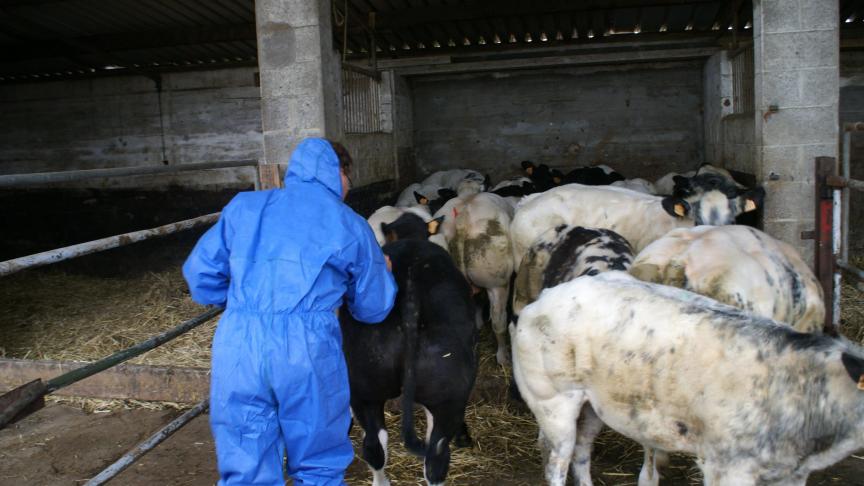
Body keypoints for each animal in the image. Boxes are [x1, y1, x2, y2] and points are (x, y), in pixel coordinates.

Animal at [512, 270, 864, 486]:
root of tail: (546, 295)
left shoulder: (793, 473)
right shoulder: (727, 467)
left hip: (593, 405)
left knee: (582, 452)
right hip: (553, 402)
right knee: (557, 461)